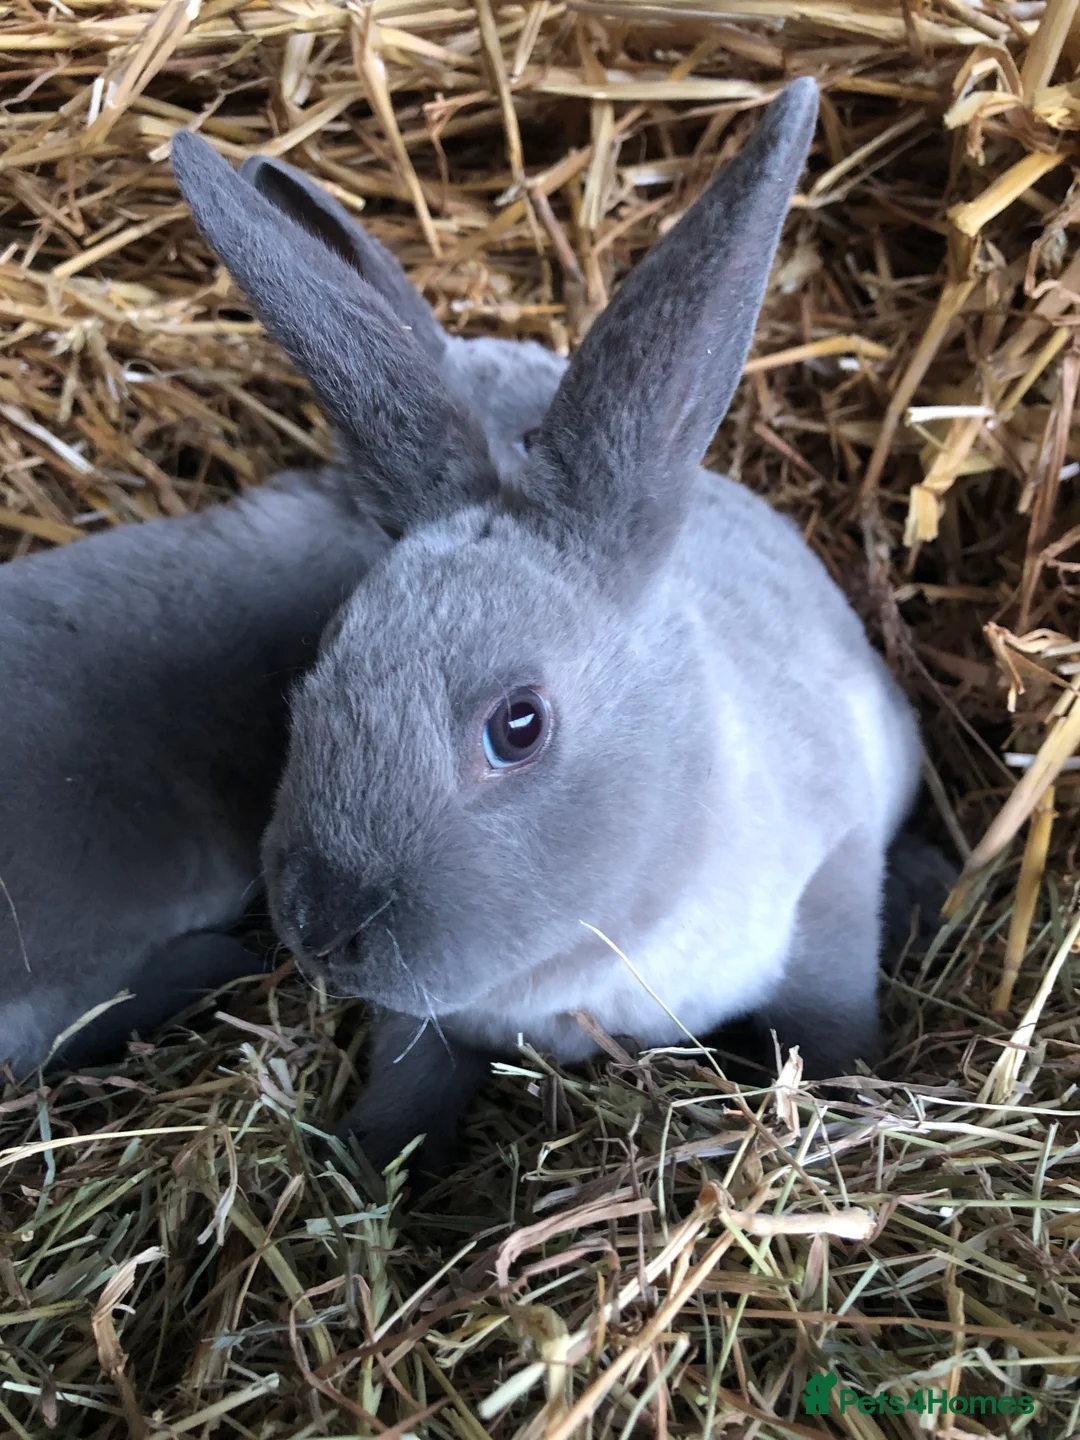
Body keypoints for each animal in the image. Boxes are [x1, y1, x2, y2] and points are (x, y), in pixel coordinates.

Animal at [172, 78, 926, 1177]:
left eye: (518, 725)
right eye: (321, 668)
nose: (321, 926)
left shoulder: (833, 875)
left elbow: (826, 1015)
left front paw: (837, 1098)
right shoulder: (429, 1021)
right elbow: (412, 1075)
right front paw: (376, 1160)